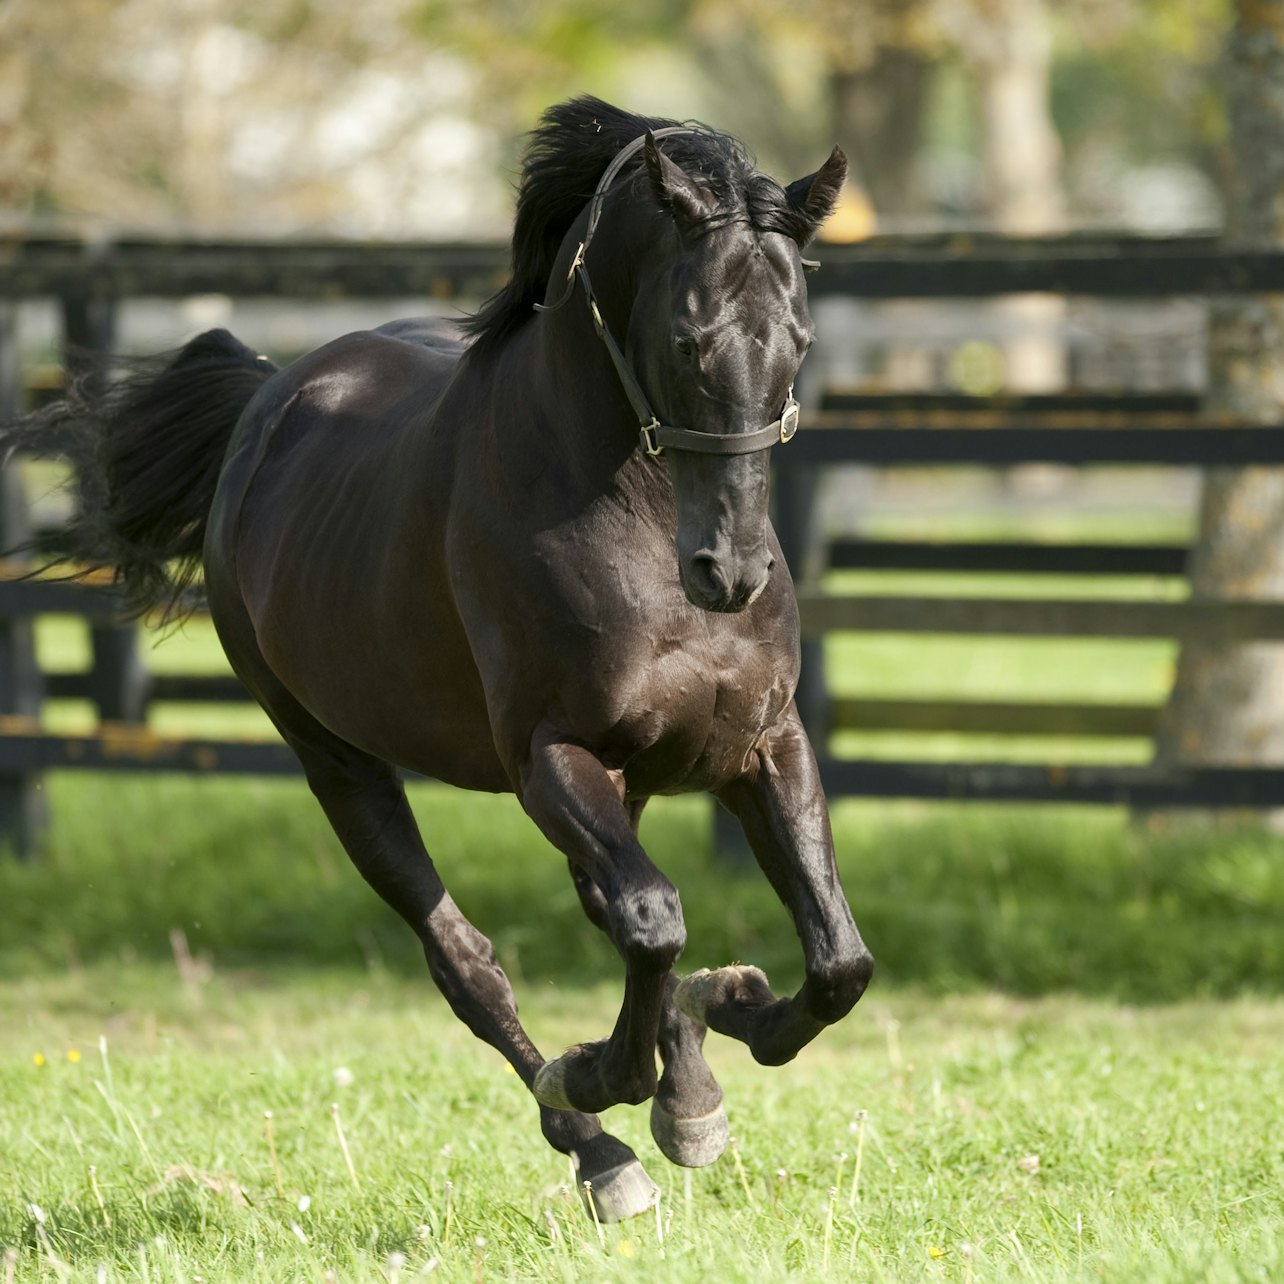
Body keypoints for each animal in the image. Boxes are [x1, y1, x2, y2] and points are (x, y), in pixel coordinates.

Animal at [17, 95, 873, 1217]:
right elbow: (652, 919)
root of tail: (266, 401)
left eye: (800, 341)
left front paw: (727, 1015)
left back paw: (680, 1074)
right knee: (470, 964)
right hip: (338, 766)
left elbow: (834, 959)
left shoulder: (758, 747)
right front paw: (610, 1076)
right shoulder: (550, 758)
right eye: (689, 340)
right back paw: (603, 1153)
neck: (631, 518)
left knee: (610, 914)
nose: (727, 571)